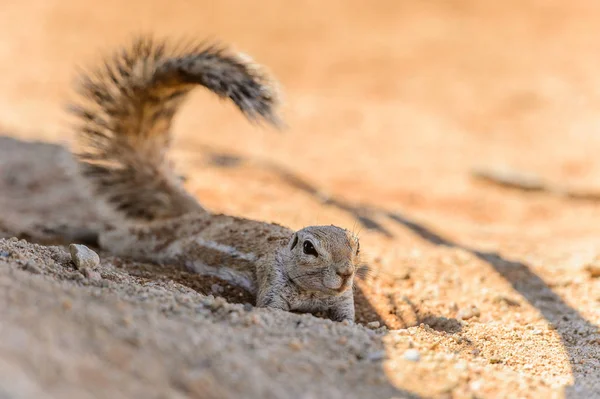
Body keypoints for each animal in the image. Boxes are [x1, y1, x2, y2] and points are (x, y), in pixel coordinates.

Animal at [70, 36, 360, 322]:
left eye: (356, 247)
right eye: (309, 248)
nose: (346, 273)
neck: (312, 292)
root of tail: (200, 214)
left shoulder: (345, 301)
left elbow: (347, 319)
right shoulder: (272, 284)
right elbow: (271, 309)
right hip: (153, 240)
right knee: (115, 235)